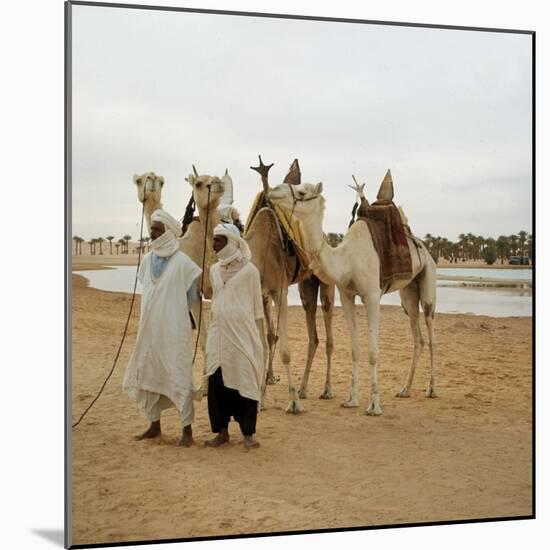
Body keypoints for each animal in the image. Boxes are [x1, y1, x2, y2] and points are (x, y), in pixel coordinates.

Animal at [246, 158, 336, 414]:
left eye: (303, 191)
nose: (274, 190)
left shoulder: (281, 292)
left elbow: (284, 350)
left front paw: (293, 401)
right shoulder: (259, 294)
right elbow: (264, 342)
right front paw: (260, 399)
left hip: (326, 285)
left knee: (328, 337)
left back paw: (325, 390)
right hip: (306, 287)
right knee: (312, 334)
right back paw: (304, 388)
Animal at [270, 170, 438, 416]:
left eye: (301, 192)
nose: (273, 191)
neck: (346, 260)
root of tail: (423, 247)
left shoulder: (372, 296)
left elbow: (373, 352)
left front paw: (374, 405)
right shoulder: (346, 296)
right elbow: (355, 350)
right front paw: (351, 399)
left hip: (427, 282)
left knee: (430, 329)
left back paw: (432, 389)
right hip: (408, 294)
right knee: (418, 338)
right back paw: (405, 389)